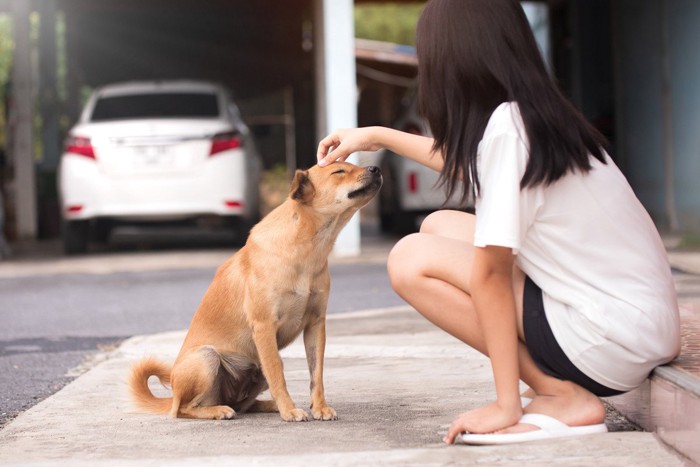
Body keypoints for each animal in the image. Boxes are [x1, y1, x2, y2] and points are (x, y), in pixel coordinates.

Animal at [131, 163, 382, 422]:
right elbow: (278, 377)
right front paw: (289, 410)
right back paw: (218, 410)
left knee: (245, 404)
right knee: (185, 408)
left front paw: (319, 407)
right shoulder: (264, 326)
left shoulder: (315, 324)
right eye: (339, 171)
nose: (375, 168)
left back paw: (266, 405)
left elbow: (317, 375)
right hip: (206, 358)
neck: (306, 249)